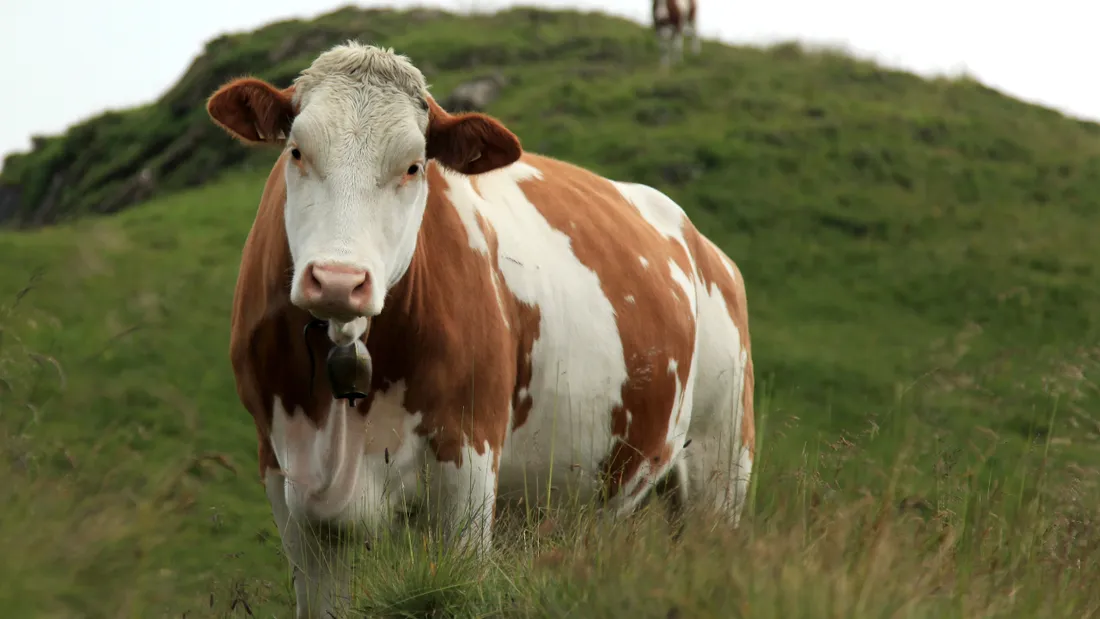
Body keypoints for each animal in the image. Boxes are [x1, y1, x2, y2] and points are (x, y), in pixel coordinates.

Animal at [206, 42, 754, 619]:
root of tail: (701, 243)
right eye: (296, 152)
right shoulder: (286, 479)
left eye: (413, 166)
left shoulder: (468, 463)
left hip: (720, 464)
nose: (338, 279)